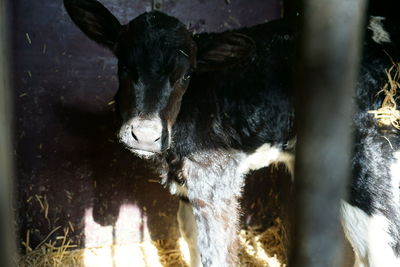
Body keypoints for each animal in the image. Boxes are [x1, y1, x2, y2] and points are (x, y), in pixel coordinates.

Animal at [64, 1, 400, 266]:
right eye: (123, 66)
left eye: (186, 75)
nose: (145, 135)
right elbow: (190, 236)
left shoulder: (215, 177)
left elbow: (216, 252)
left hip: (372, 168)